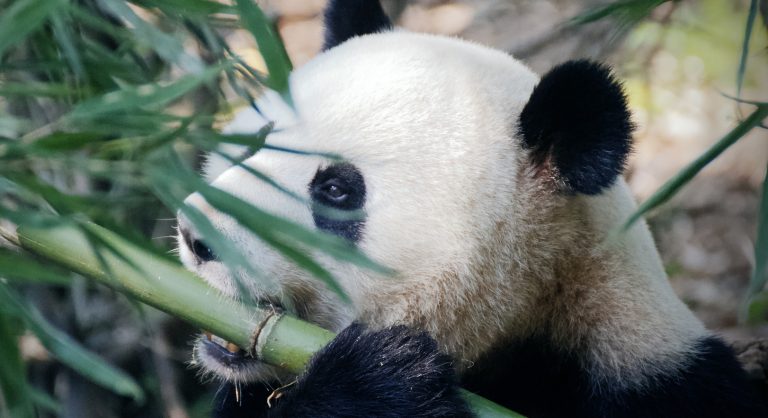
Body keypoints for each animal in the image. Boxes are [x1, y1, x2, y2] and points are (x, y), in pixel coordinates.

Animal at [176, 1, 766, 417]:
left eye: (337, 191)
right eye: (257, 142)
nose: (196, 234)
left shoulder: (652, 377)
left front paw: (380, 379)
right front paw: (380, 381)